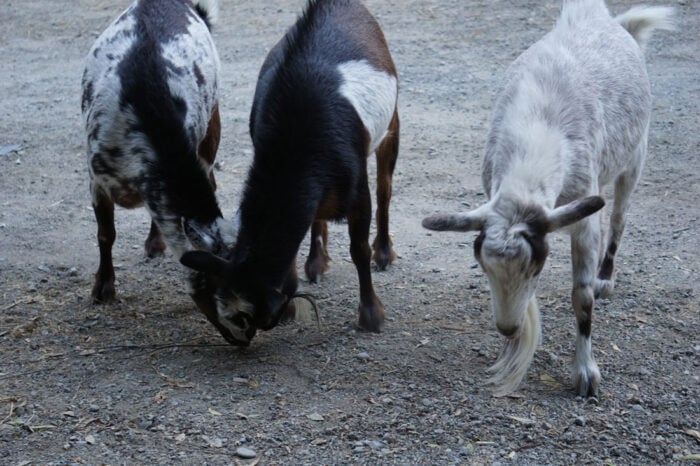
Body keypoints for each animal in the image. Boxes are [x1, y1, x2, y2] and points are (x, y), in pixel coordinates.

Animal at [81, 0, 238, 340]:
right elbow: (106, 234)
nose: (245, 337)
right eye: (219, 287)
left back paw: (155, 243)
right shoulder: (97, 180)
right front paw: (103, 288)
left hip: (211, 126)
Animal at [180, 0, 400, 346]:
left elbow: (358, 248)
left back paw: (384, 252)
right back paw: (316, 261)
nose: (241, 342)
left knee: (385, 188)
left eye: (246, 316)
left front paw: (371, 315)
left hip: (391, 124)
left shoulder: (356, 191)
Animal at [423, 0, 672, 397]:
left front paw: (585, 373)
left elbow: (581, 297)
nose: (507, 328)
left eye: (537, 268)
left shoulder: (584, 218)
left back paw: (605, 277)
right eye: (483, 267)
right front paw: (513, 348)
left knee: (620, 218)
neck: (537, 127)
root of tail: (611, 21)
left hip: (635, 158)